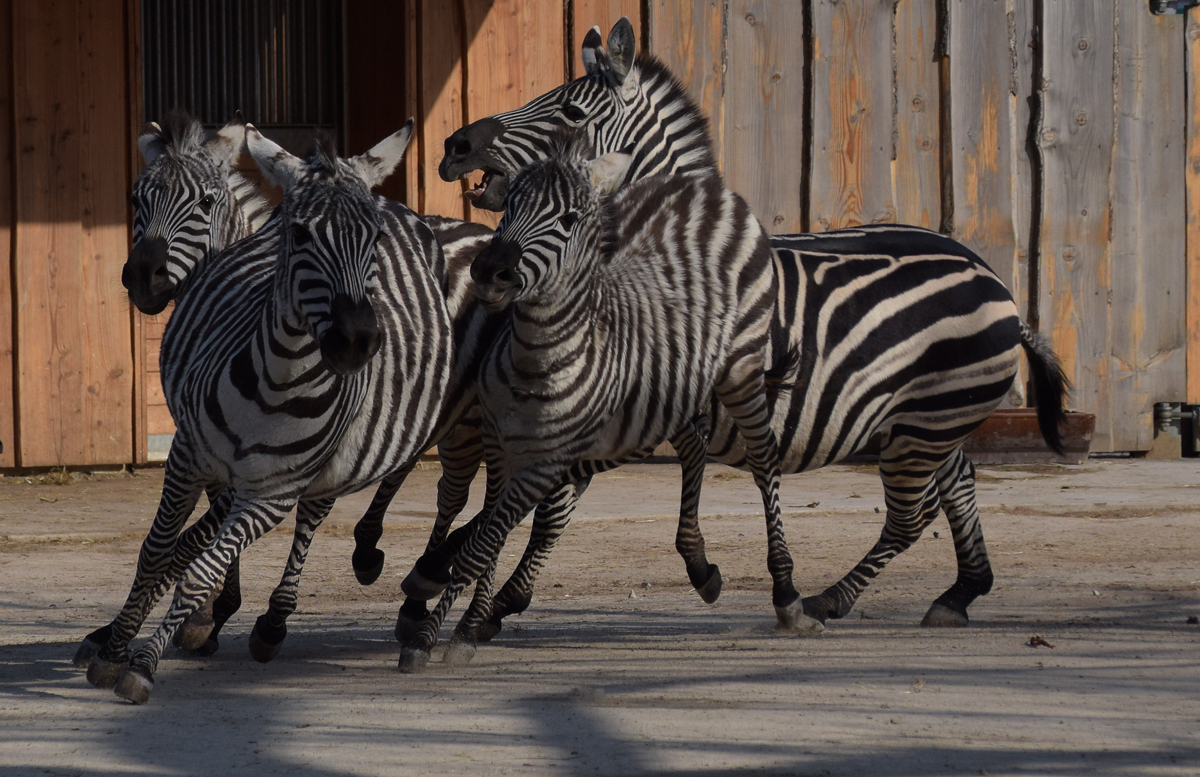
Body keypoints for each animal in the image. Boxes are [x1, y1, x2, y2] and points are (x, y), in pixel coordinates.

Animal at [79, 122, 453, 705]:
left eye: (205, 203)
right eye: (135, 200)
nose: (144, 277)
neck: (279, 378)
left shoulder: (270, 490)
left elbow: (196, 559)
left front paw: (165, 644)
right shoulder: (192, 454)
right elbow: (161, 549)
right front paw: (118, 641)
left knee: (333, 508)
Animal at [393, 139, 806, 671]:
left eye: (568, 220)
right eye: (509, 207)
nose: (487, 272)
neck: (535, 357)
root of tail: (700, 185)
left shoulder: (543, 462)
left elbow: (484, 543)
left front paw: (441, 633)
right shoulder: (502, 446)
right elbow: (489, 539)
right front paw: (453, 616)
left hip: (741, 369)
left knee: (763, 462)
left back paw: (786, 592)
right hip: (661, 396)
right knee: (693, 444)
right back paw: (699, 565)